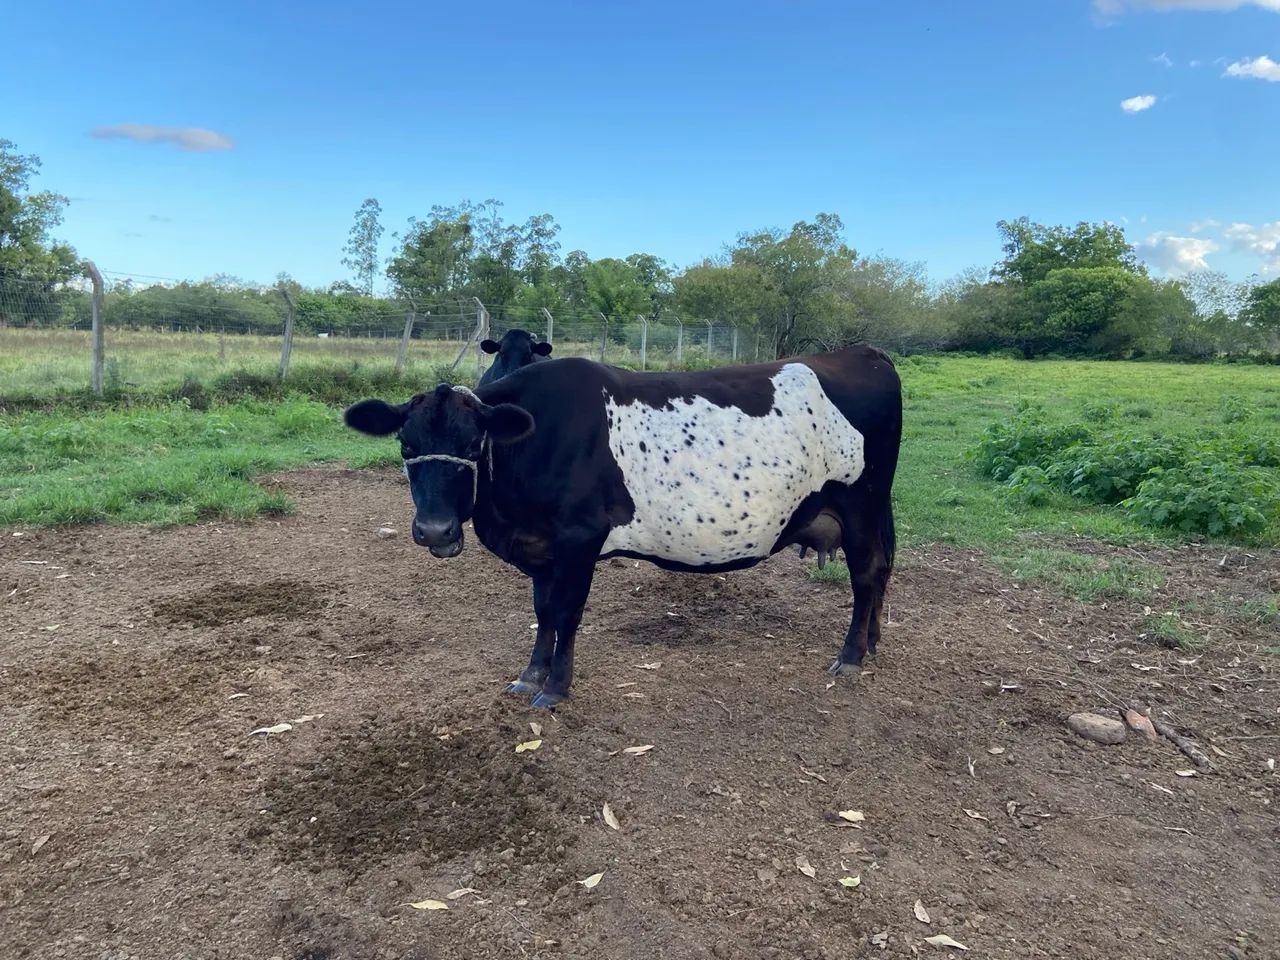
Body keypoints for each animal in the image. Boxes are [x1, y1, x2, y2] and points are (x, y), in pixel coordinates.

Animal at [344, 346, 902, 710]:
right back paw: (873, 643)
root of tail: (864, 352)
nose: (435, 530)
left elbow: (566, 614)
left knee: (866, 575)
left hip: (861, 505)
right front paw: (530, 676)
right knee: (881, 572)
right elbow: (542, 611)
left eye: (470, 444)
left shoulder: (579, 539)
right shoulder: (543, 548)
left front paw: (556, 688)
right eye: (406, 445)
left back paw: (852, 656)